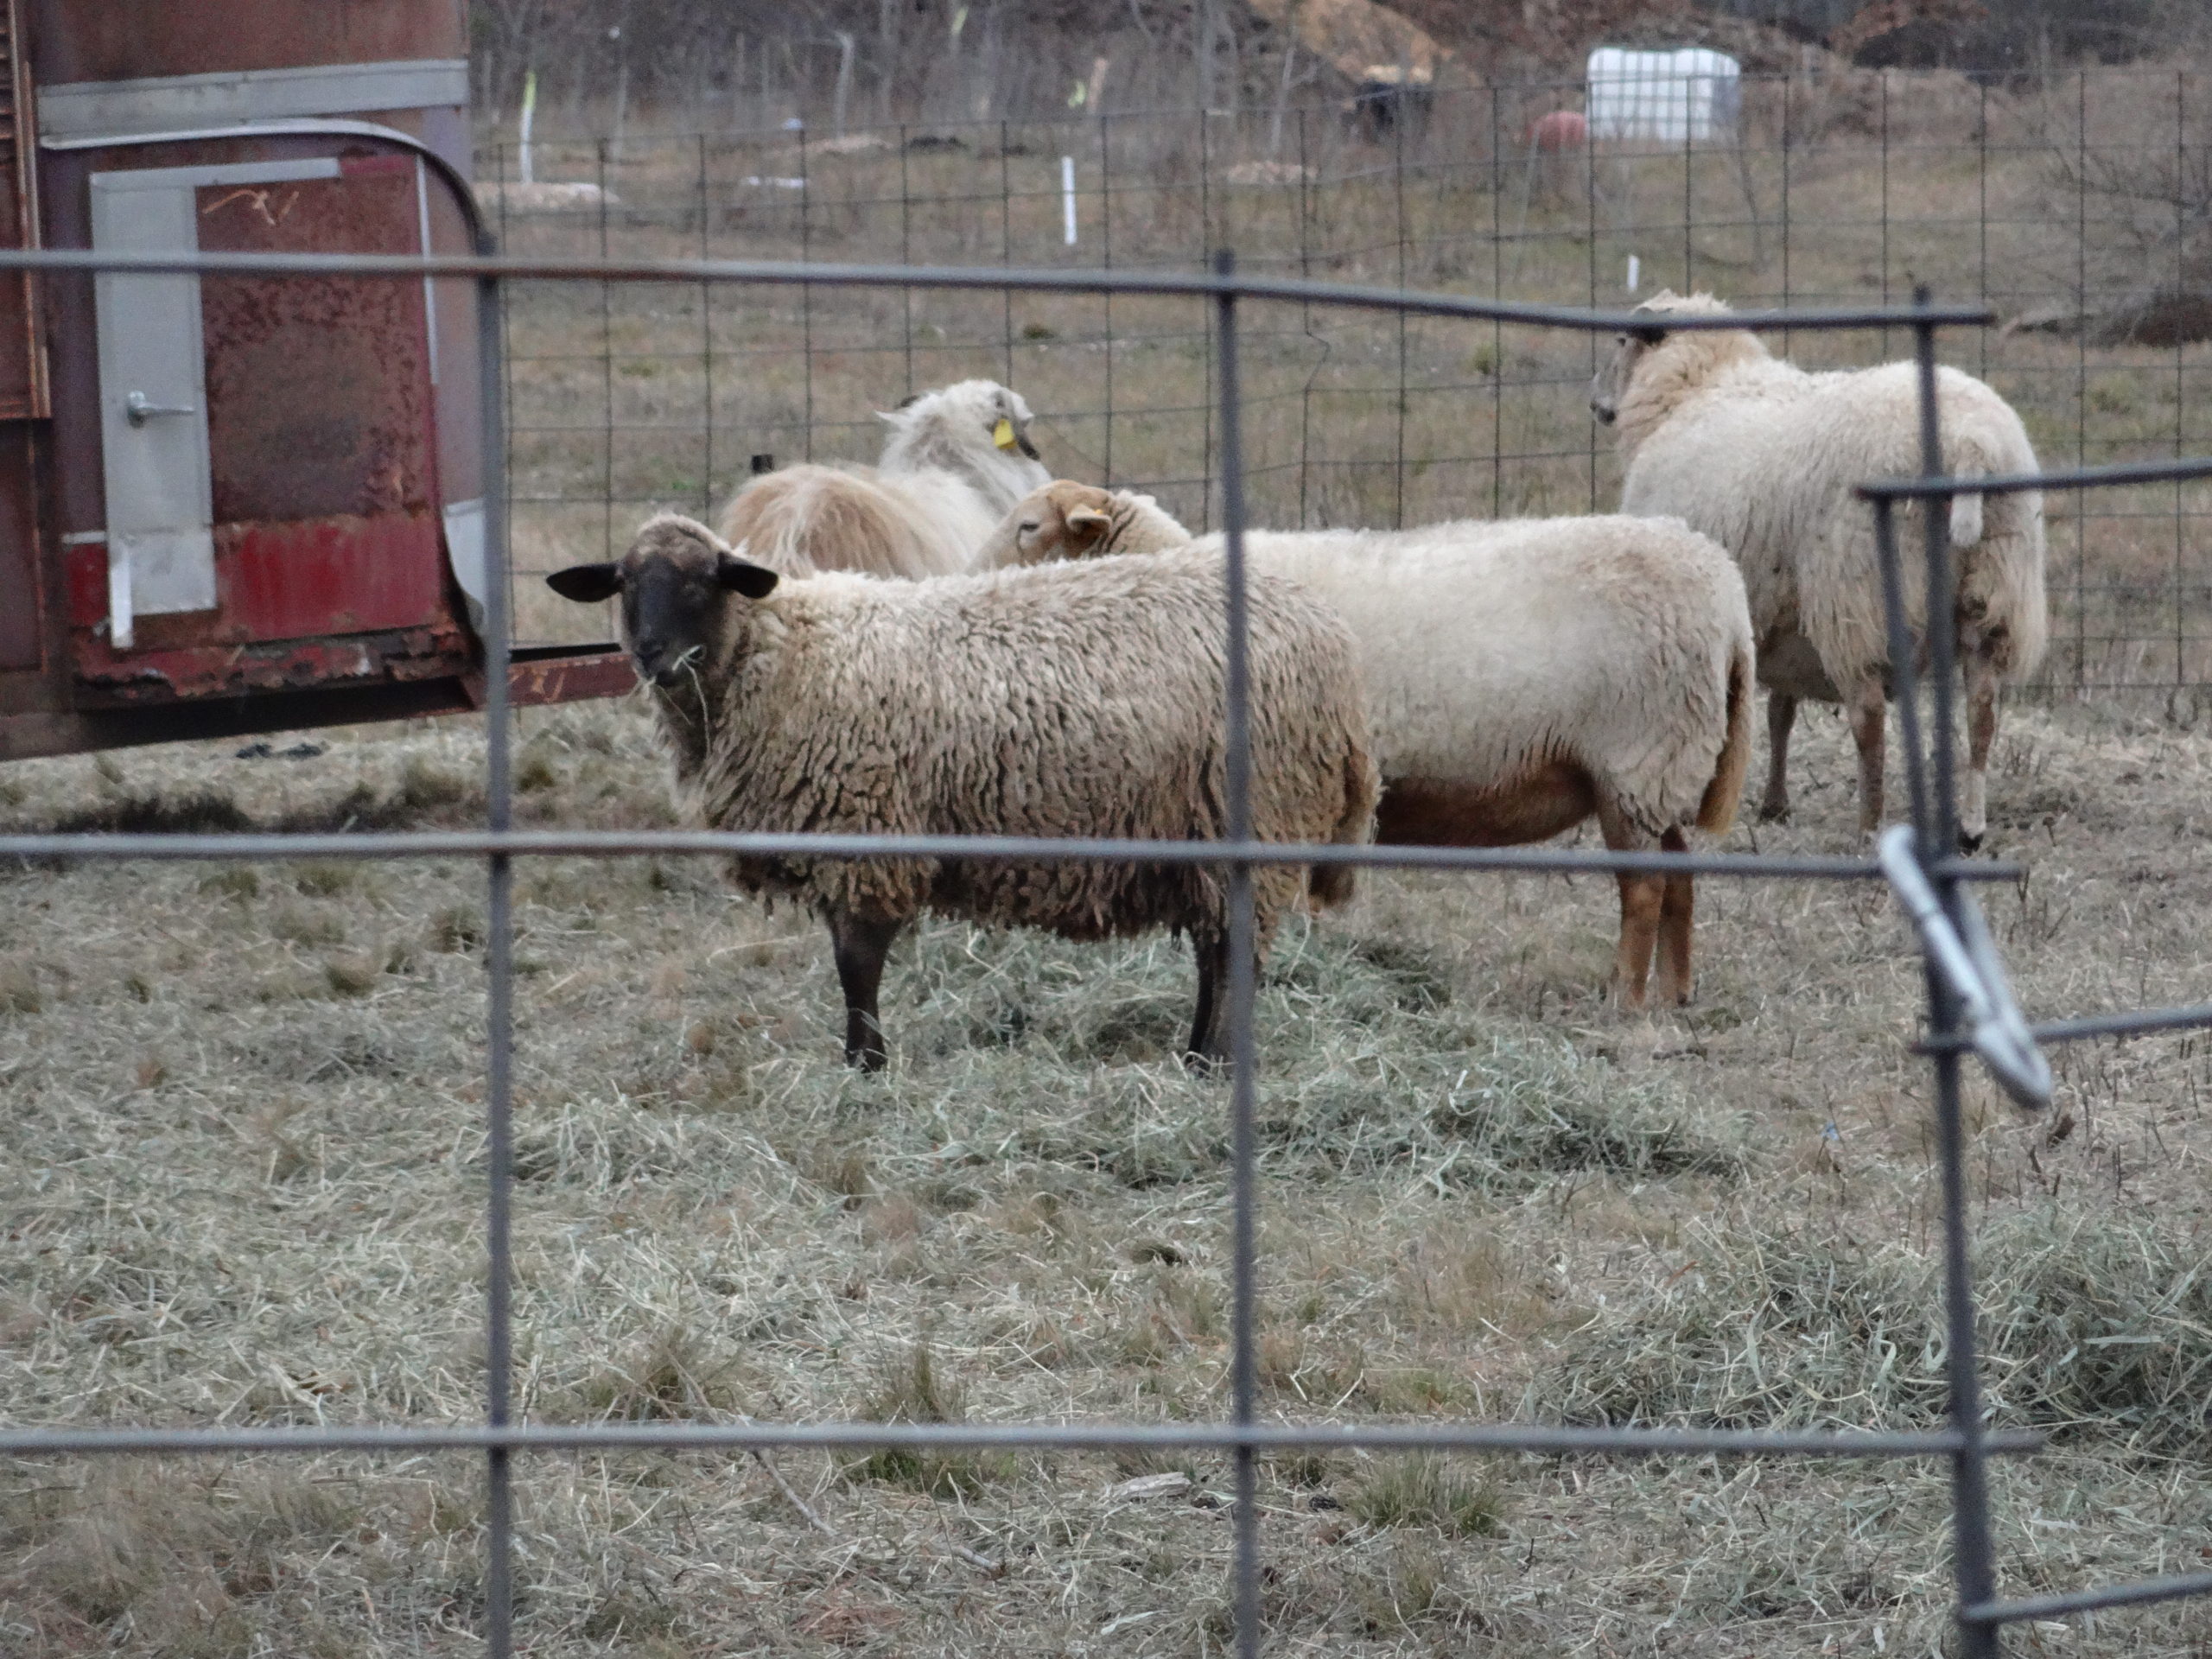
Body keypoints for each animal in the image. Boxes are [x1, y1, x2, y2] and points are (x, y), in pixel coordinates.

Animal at [543, 512, 1371, 1071]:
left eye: (700, 581)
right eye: (624, 584)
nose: (653, 657)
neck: (776, 654)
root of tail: (1330, 640)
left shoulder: (865, 832)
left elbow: (856, 963)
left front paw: (866, 1066)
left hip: (1259, 810)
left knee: (1236, 953)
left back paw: (1220, 1062)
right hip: (1202, 828)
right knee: (1214, 947)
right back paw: (1196, 1056)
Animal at [986, 480, 1760, 1013]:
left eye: (1029, 526)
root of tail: (1726, 588)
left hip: (1640, 755)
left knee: (1644, 890)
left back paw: (1624, 998)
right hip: (1661, 767)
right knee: (1680, 878)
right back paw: (1675, 993)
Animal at [1592, 287, 2035, 849]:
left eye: (1621, 340)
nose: (1597, 403)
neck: (1695, 386)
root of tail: (1969, 443)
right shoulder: (1784, 616)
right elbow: (1780, 711)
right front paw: (1774, 804)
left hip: (1857, 591)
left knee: (1868, 716)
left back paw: (1870, 827)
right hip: (1995, 587)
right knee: (1982, 708)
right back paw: (1970, 829)